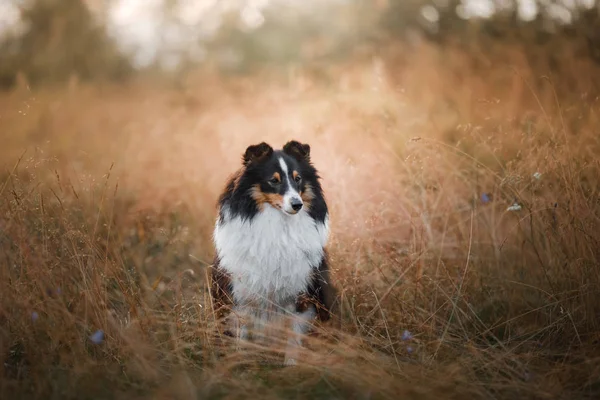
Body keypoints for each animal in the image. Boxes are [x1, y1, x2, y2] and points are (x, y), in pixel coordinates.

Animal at [210, 140, 332, 366]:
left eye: (298, 179)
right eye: (273, 181)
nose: (297, 204)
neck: (278, 225)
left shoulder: (302, 296)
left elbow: (293, 338)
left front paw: (291, 367)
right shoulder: (241, 296)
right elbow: (241, 337)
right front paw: (241, 364)